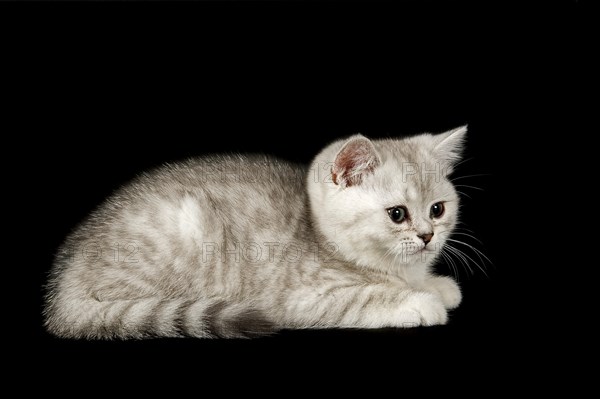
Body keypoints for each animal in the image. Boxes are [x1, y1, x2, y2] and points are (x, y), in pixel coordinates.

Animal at [45, 126, 468, 340]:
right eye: (397, 214)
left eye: (437, 209)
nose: (427, 236)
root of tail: (63, 286)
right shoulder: (302, 297)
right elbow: (364, 298)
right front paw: (421, 301)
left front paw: (435, 285)